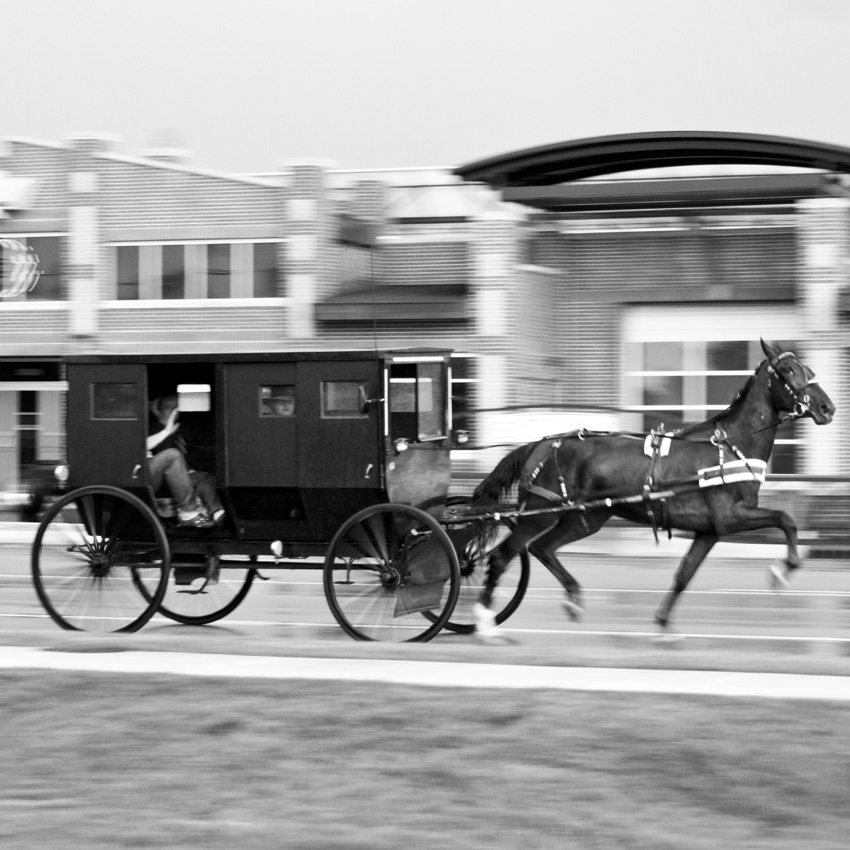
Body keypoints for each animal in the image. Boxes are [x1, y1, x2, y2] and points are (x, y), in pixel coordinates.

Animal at [470, 338, 836, 636]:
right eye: (788, 370)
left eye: (807, 367)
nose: (827, 408)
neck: (728, 446)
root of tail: (542, 444)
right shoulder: (731, 516)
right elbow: (786, 519)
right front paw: (781, 571)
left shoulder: (710, 530)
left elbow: (684, 574)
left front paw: (663, 623)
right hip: (539, 513)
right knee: (503, 556)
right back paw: (484, 622)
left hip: (585, 518)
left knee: (542, 548)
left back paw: (572, 598)